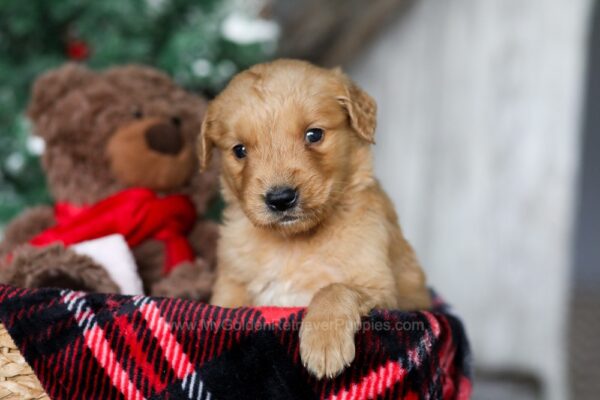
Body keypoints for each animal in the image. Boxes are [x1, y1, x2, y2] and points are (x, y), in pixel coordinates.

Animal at [202, 58, 432, 378]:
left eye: (314, 135)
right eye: (239, 150)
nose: (280, 198)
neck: (293, 243)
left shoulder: (384, 289)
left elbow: (335, 288)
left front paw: (324, 344)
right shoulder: (230, 286)